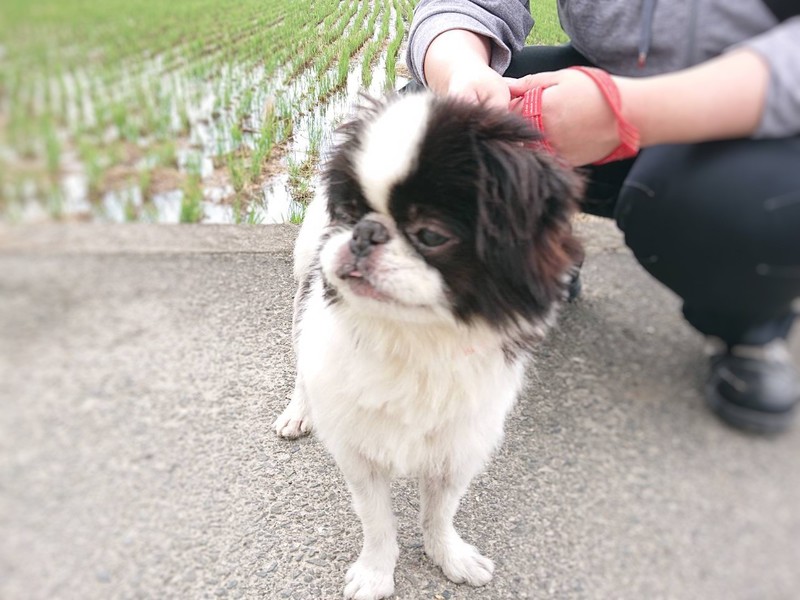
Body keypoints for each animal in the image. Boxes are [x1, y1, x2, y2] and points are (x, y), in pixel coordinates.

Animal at [273, 92, 583, 600]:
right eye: (350, 213)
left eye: (431, 236)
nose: (365, 232)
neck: (415, 337)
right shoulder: (360, 455)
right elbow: (377, 522)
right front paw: (376, 573)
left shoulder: (456, 452)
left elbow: (439, 513)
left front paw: (448, 556)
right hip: (306, 283)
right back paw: (299, 411)